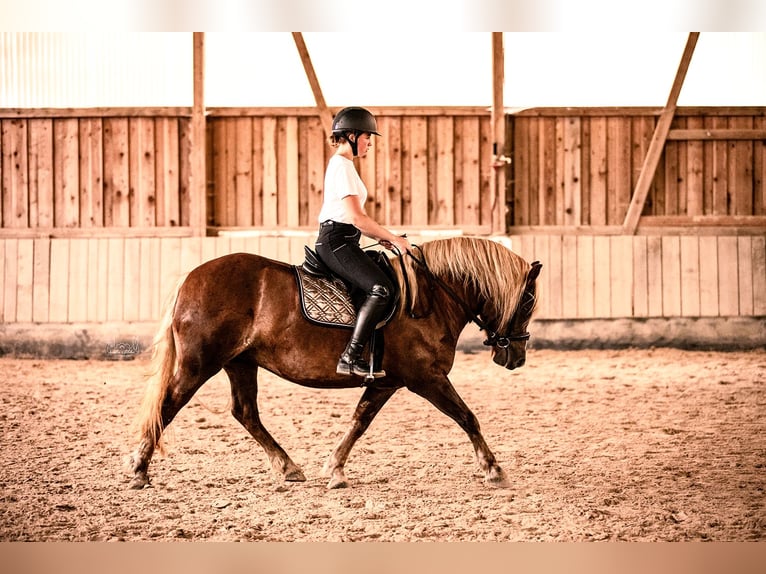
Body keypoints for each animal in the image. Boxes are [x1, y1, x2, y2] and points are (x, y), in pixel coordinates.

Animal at [127, 236, 540, 492]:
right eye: (526, 302)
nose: (515, 357)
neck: (431, 299)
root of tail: (192, 277)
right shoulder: (427, 378)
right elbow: (467, 417)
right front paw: (494, 470)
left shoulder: (385, 381)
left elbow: (359, 421)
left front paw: (335, 469)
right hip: (200, 364)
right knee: (167, 406)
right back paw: (140, 472)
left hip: (240, 362)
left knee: (245, 412)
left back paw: (289, 467)